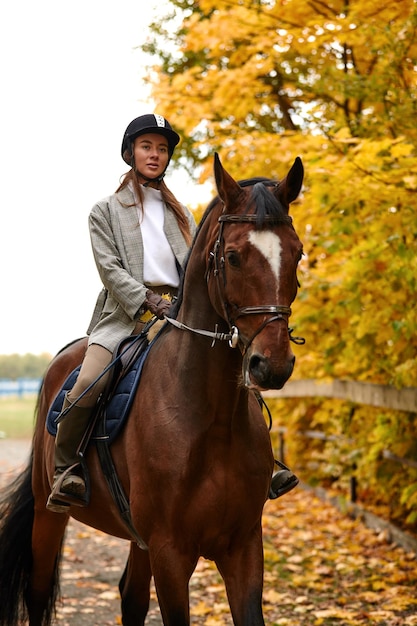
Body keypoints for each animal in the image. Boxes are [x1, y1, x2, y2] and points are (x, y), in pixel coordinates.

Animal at [0, 152, 302, 624]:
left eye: (298, 254)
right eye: (233, 257)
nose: (272, 365)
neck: (210, 419)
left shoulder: (244, 547)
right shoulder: (170, 552)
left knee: (131, 597)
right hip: (50, 515)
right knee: (38, 590)